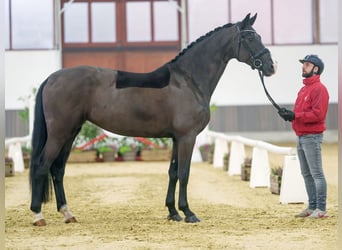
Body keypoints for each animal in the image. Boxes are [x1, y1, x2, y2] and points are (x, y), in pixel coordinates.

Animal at [28, 12, 276, 226]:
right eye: (250, 37)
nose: (271, 67)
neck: (187, 81)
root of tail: (52, 78)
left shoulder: (176, 138)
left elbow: (173, 173)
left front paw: (173, 212)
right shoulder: (187, 137)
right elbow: (184, 173)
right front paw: (188, 213)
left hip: (71, 132)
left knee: (58, 169)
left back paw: (67, 213)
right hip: (60, 133)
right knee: (42, 166)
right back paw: (38, 215)